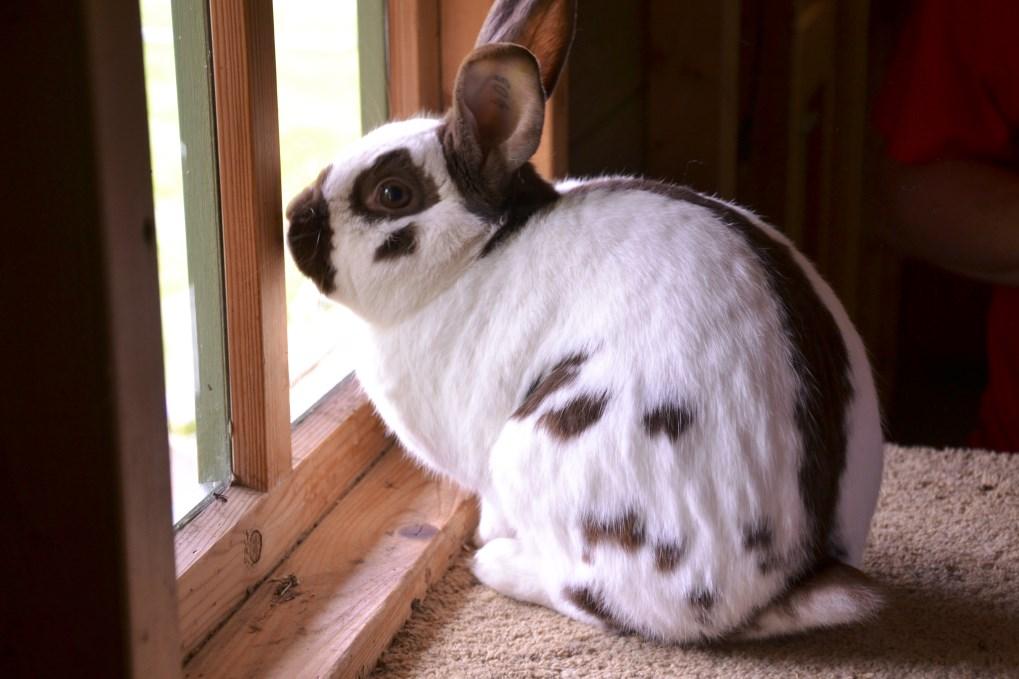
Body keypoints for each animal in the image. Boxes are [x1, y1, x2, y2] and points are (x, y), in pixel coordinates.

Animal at [285, 0, 884, 640]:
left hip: (538, 455)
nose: (294, 221)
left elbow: (492, 509)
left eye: (392, 194)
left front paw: (485, 535)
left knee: (591, 596)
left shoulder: (487, 467)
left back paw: (497, 564)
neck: (474, 255)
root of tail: (791, 580)